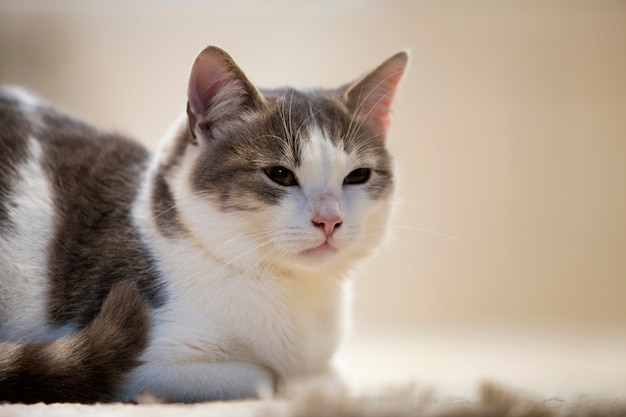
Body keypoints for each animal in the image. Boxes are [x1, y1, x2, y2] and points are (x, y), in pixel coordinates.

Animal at [0, 44, 408, 402]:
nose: (329, 219)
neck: (296, 293)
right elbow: (267, 379)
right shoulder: (144, 365)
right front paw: (291, 387)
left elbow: (333, 377)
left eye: (357, 176)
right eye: (280, 174)